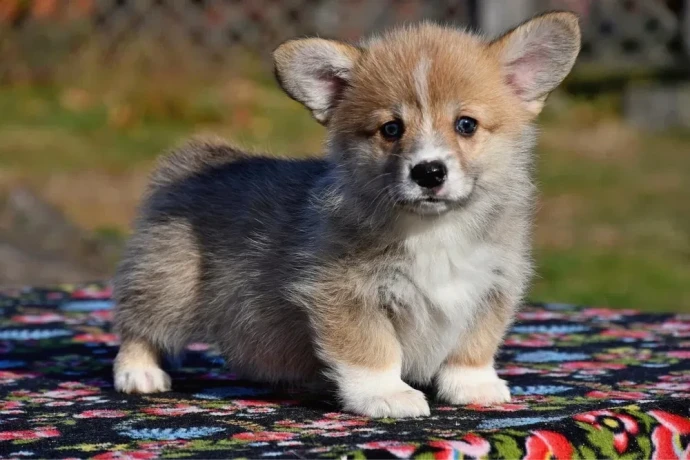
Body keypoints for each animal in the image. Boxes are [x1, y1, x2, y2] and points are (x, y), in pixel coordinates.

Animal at [113, 13, 580, 416]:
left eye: (466, 124)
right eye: (391, 129)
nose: (428, 172)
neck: (433, 230)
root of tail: (196, 157)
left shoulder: (494, 286)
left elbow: (475, 343)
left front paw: (475, 386)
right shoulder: (344, 293)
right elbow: (372, 351)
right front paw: (388, 396)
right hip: (170, 283)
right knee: (138, 322)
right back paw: (138, 372)